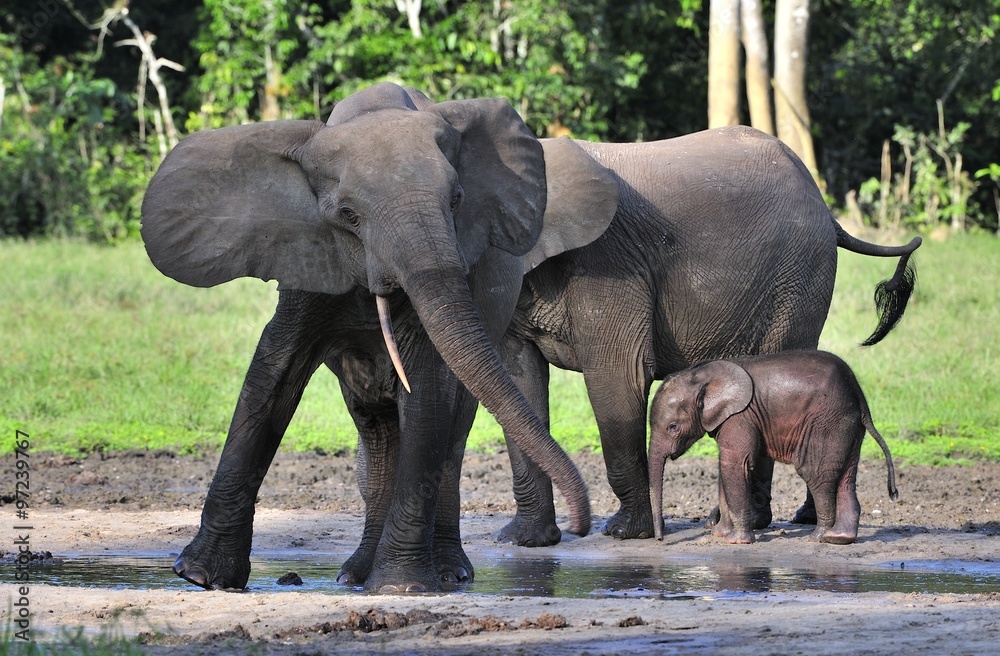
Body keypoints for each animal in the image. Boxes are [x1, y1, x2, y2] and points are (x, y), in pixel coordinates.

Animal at [140, 83, 620, 592]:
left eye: (457, 200)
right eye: (348, 215)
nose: (580, 525)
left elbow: (426, 389)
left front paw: (400, 587)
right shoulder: (307, 261)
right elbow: (272, 374)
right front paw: (200, 577)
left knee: (449, 437)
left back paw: (447, 573)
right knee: (377, 434)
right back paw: (354, 575)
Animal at [647, 350, 899, 545]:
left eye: (673, 427)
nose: (660, 539)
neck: (701, 375)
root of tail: (861, 398)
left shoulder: (740, 416)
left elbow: (735, 464)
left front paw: (736, 541)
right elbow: (725, 467)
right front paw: (719, 534)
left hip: (827, 422)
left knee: (814, 473)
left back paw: (818, 537)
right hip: (847, 427)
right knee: (846, 477)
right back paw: (839, 538)